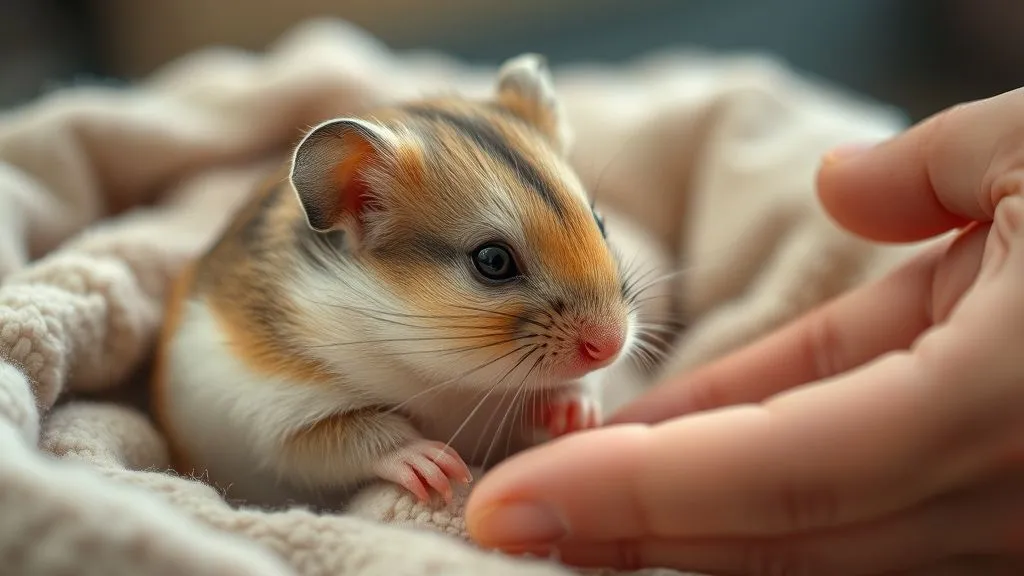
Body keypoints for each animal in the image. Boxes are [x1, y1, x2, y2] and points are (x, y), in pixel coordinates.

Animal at [150, 54, 639, 507]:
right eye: (493, 261)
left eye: (600, 223)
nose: (611, 346)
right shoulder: (282, 415)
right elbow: (357, 435)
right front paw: (438, 468)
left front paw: (577, 415)